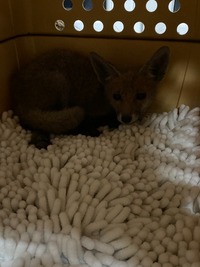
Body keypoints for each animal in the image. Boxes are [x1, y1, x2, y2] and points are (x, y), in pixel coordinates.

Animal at [10, 46, 170, 150]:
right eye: (116, 96)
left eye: (141, 95)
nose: (126, 118)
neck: (103, 95)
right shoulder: (90, 113)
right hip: (60, 82)